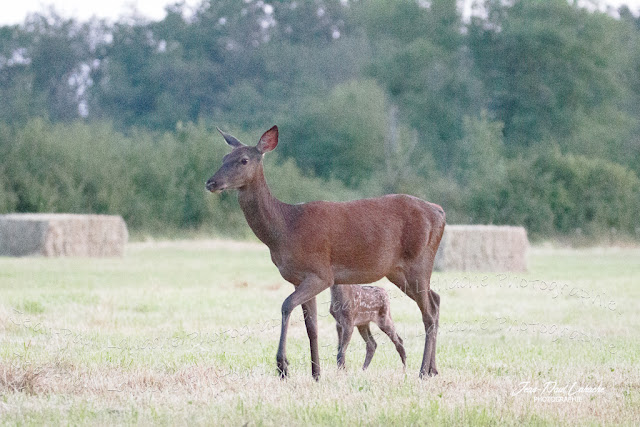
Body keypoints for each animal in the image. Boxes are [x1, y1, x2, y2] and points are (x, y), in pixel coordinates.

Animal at [206, 125, 444, 380]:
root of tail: (440, 212)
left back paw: (423, 371)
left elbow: (286, 305)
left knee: (429, 312)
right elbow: (312, 327)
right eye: (224, 157)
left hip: (418, 261)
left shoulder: (320, 273)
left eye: (243, 160)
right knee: (436, 299)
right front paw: (316, 373)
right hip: (399, 271)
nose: (211, 182)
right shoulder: (298, 278)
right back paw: (433, 369)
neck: (286, 228)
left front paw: (283, 366)